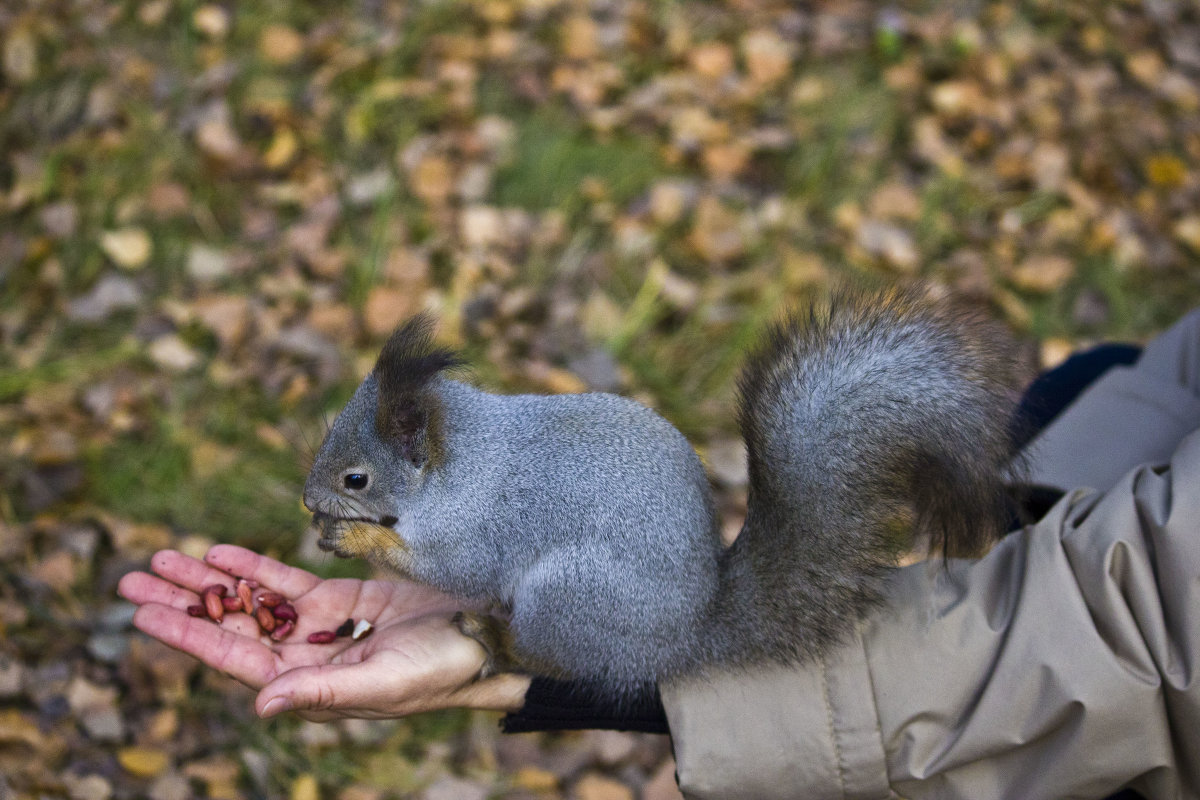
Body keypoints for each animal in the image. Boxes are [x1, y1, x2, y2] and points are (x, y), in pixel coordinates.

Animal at [302, 286, 1022, 695]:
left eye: (356, 477)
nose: (309, 502)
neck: (462, 463)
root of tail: (684, 640)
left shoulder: (483, 524)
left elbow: (455, 570)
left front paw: (354, 536)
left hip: (568, 598)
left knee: (553, 663)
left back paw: (498, 641)